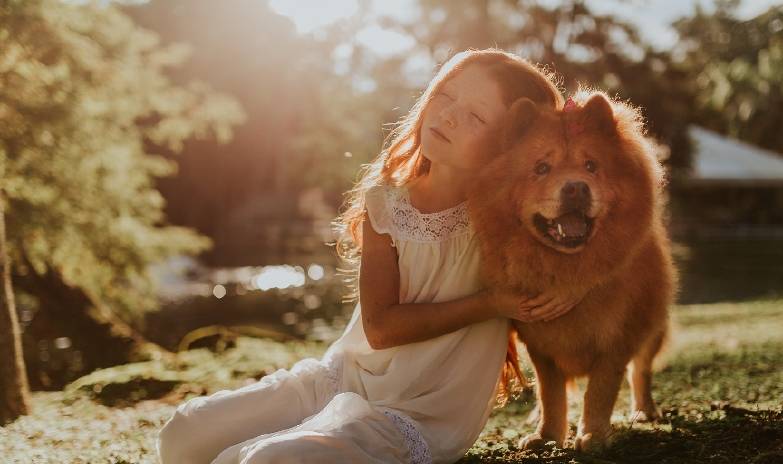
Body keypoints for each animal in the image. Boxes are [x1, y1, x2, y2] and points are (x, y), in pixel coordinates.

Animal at [468, 90, 676, 454]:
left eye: (591, 165)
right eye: (541, 168)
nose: (576, 187)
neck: (566, 267)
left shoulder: (618, 338)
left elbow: (601, 390)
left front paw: (593, 435)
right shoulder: (540, 344)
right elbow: (551, 393)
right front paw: (548, 435)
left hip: (653, 325)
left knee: (642, 370)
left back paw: (644, 411)